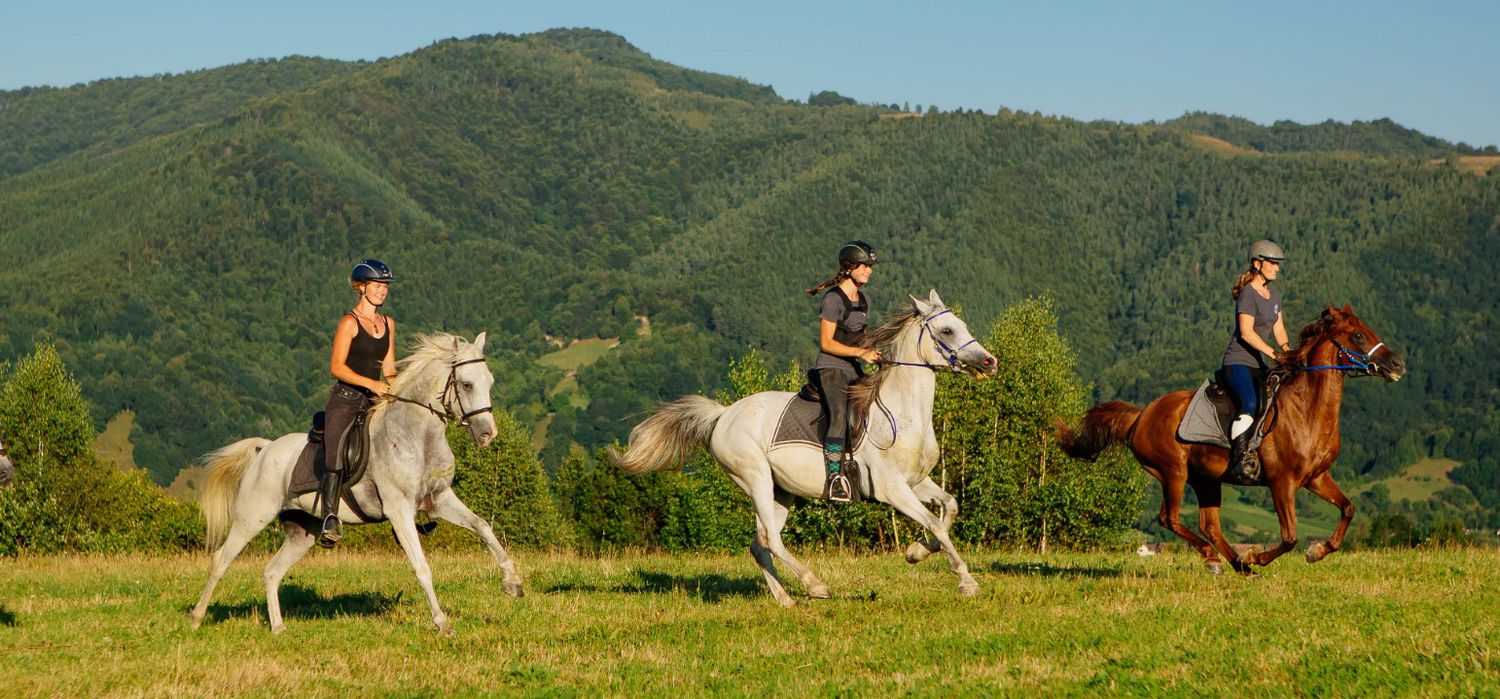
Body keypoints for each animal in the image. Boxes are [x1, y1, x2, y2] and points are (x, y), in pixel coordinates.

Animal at [190, 333, 525, 633]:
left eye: (490, 382)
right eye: (467, 384)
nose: (487, 434)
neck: (417, 436)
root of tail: (266, 448)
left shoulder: (440, 499)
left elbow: (483, 526)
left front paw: (512, 582)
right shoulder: (399, 510)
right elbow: (422, 566)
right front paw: (442, 623)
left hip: (303, 531)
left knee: (272, 571)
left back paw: (278, 627)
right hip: (253, 516)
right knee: (221, 560)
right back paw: (196, 618)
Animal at [609, 291, 996, 606]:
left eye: (961, 325)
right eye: (946, 331)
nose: (989, 361)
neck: (902, 412)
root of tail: (723, 414)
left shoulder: (916, 482)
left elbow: (949, 509)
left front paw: (916, 553)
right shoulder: (893, 490)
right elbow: (935, 524)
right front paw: (966, 582)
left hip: (781, 491)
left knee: (760, 543)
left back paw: (785, 599)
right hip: (755, 478)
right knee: (771, 539)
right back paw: (815, 585)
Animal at [1056, 304, 1404, 573]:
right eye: (1358, 335)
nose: (1397, 364)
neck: (1307, 409)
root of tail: (1142, 414)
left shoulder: (1316, 477)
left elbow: (1348, 509)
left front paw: (1316, 551)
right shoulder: (1282, 482)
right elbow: (1290, 537)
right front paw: (1257, 556)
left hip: (1206, 479)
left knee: (1209, 525)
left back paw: (1236, 564)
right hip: (1173, 472)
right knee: (1169, 518)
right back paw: (1220, 559)